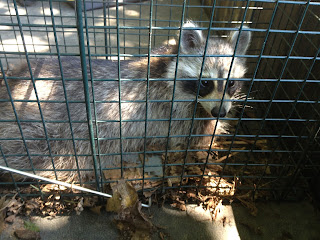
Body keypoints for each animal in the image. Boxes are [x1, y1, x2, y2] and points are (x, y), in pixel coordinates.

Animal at [0, 21, 250, 181]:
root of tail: (12, 82)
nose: (220, 112)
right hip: (44, 128)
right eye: (206, 82)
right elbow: (193, 136)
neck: (166, 66)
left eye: (231, 83)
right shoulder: (172, 113)